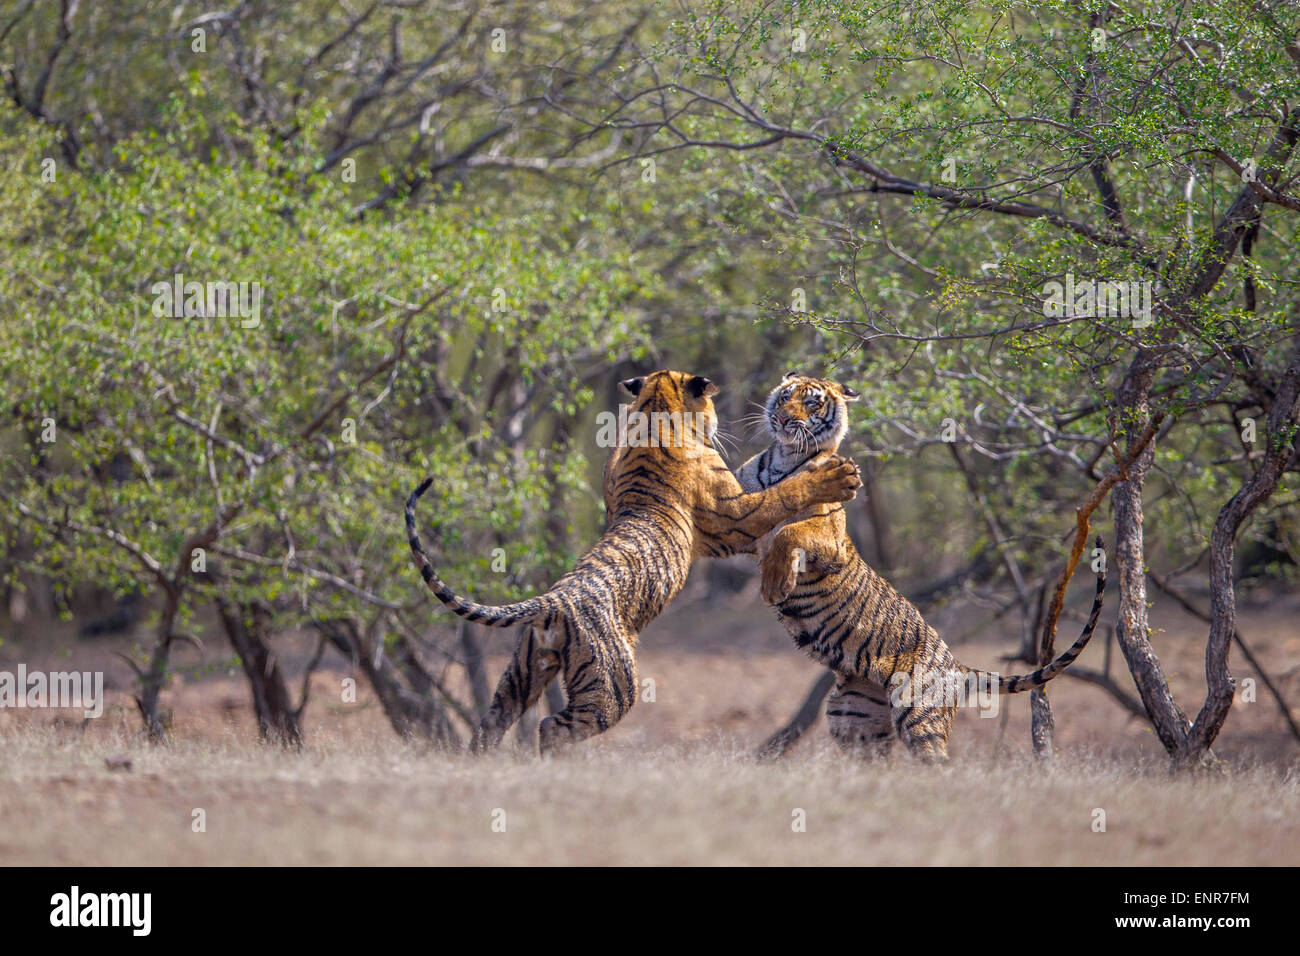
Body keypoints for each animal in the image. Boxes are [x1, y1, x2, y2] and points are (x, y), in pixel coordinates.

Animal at [407, 368, 863, 756]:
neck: (652, 412)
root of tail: (552, 602)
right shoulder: (733, 518)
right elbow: (782, 495)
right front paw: (835, 478)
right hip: (614, 686)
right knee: (552, 726)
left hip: (522, 673)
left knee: (492, 722)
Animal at [735, 372, 1106, 761]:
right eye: (785, 397)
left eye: (811, 403)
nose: (783, 419)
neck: (785, 456)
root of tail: (957, 667)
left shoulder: (829, 537)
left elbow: (788, 531)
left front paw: (774, 584)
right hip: (852, 718)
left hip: (918, 714)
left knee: (938, 763)